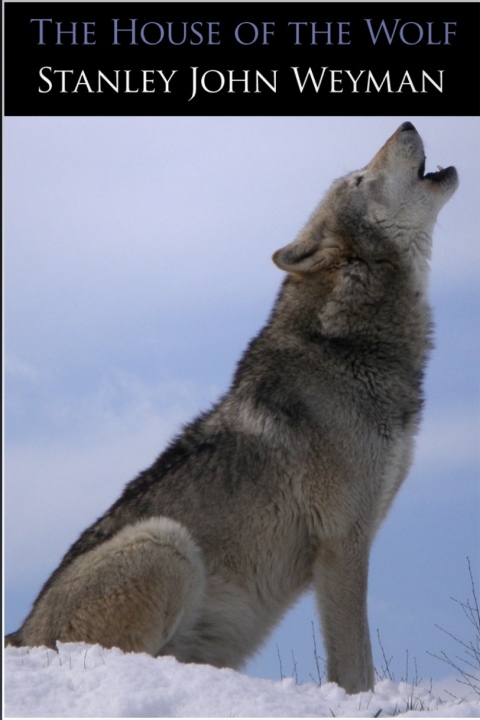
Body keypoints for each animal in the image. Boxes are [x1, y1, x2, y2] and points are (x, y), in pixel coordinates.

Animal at [6, 122, 458, 694]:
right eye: (359, 178)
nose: (406, 125)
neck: (347, 346)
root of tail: (21, 634)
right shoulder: (342, 541)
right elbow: (356, 665)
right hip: (166, 542)